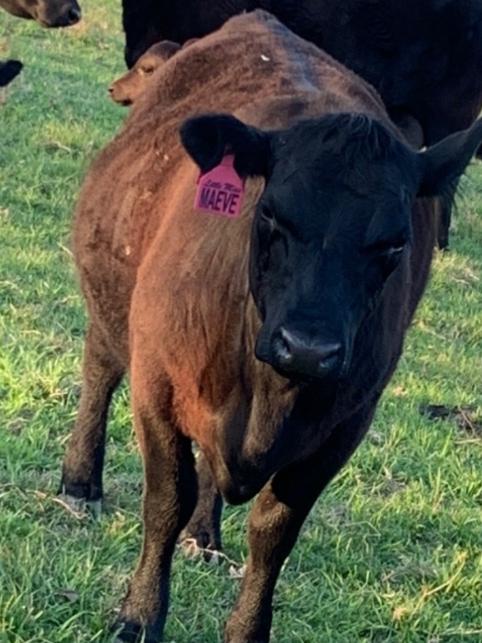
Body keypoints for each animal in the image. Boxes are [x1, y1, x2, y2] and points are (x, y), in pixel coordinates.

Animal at [59, 10, 482, 643]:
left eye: (394, 243)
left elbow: (274, 531)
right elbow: (166, 498)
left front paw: (246, 627)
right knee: (101, 367)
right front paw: (139, 615)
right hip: (112, 306)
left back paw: (205, 535)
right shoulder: (157, 384)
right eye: (272, 214)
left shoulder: (344, 428)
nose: (308, 348)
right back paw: (80, 480)